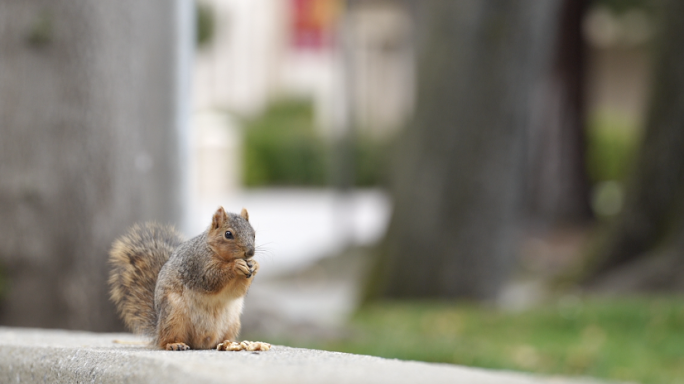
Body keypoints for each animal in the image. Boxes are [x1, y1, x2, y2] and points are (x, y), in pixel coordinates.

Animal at [108, 207, 268, 352]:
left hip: (232, 323)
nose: (250, 252)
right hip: (173, 316)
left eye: (253, 234)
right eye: (228, 234)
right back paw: (174, 344)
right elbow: (211, 278)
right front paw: (235, 265)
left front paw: (255, 265)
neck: (213, 250)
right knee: (166, 339)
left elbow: (237, 292)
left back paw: (229, 343)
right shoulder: (196, 265)